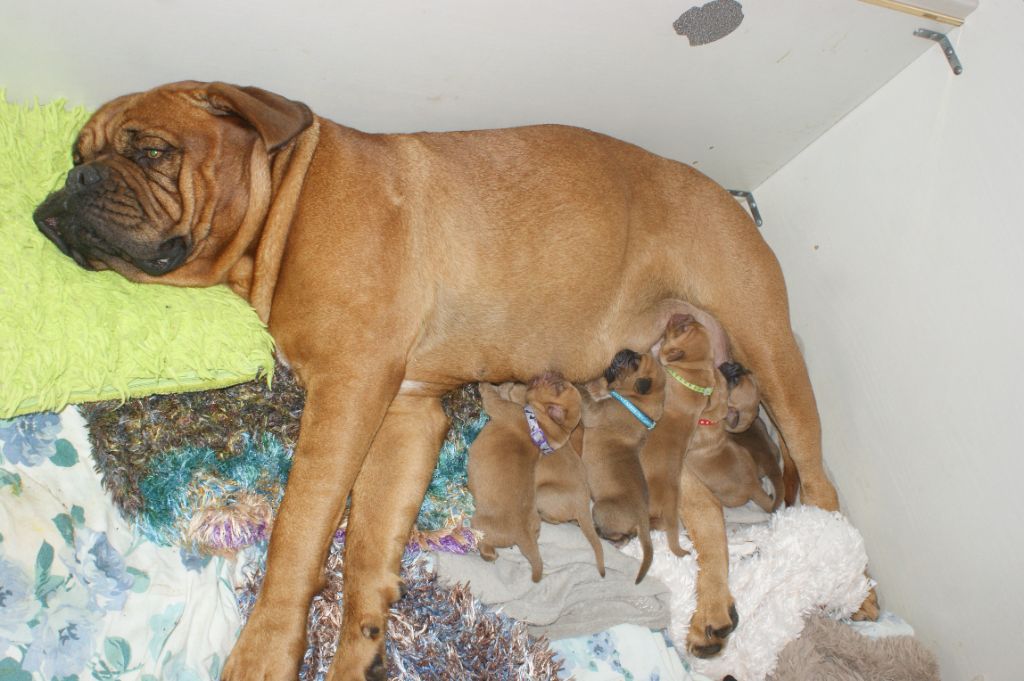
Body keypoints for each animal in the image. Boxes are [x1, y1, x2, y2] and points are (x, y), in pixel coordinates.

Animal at [468, 374, 581, 581]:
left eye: (558, 387)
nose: (551, 373)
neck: (541, 427)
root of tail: (523, 535)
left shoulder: (502, 408)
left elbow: (491, 396)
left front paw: (485, 383)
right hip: (536, 524)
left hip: (479, 523)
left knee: (485, 544)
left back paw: (487, 554)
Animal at [577, 348, 663, 581]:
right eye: (637, 355)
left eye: (635, 362)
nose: (625, 351)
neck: (639, 405)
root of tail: (642, 519)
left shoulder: (594, 410)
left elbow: (584, 397)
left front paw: (575, 383)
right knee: (626, 538)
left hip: (601, 509)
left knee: (617, 535)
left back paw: (600, 534)